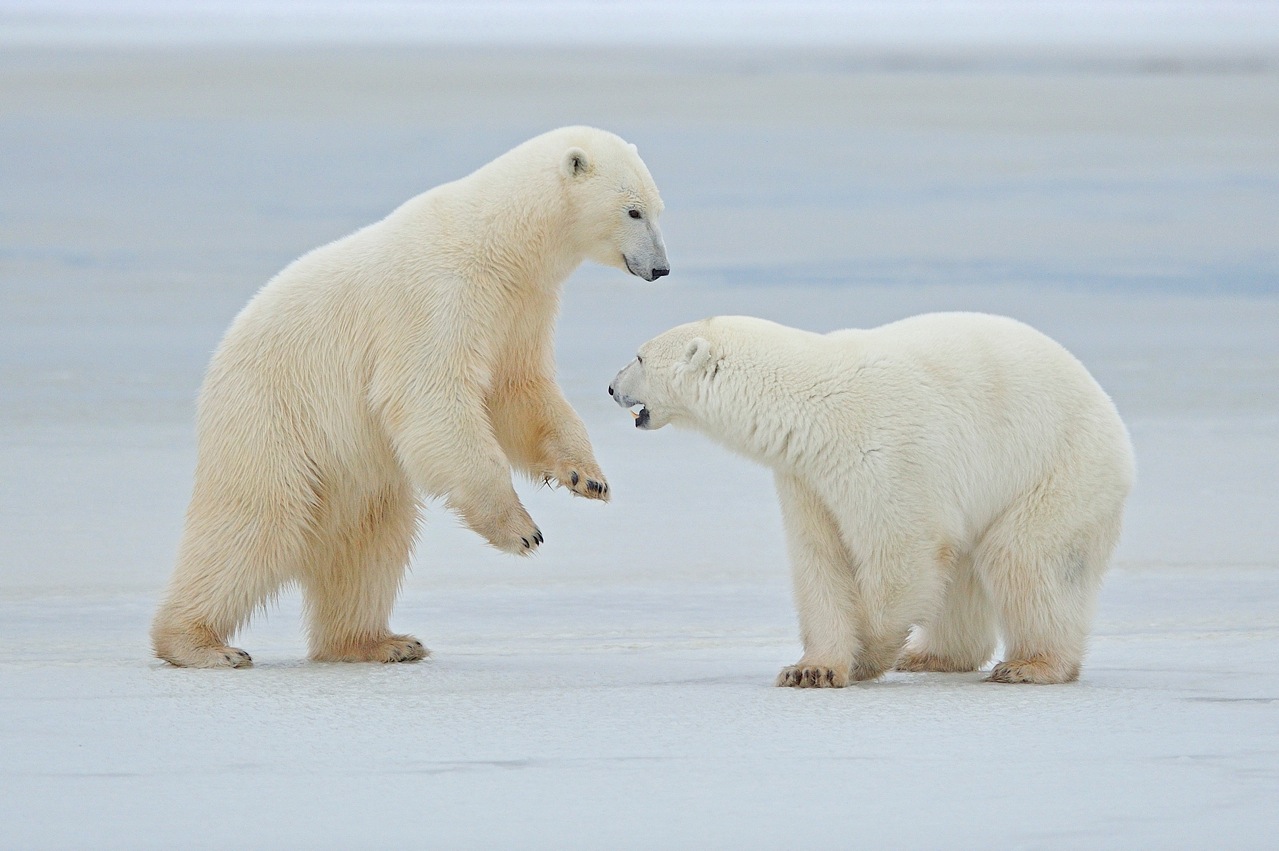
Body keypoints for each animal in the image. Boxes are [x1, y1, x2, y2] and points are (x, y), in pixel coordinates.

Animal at [152, 127, 670, 670]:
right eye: (634, 211)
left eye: (658, 208)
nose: (661, 267)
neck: (499, 242)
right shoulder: (438, 299)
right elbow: (430, 396)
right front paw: (522, 529)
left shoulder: (521, 306)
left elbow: (518, 391)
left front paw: (586, 477)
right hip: (273, 416)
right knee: (257, 522)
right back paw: (200, 643)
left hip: (350, 467)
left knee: (370, 540)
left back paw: (380, 641)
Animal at [613, 312, 1135, 685]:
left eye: (638, 357)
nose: (612, 386)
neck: (809, 404)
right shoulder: (805, 477)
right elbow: (820, 560)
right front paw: (811, 669)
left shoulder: (885, 455)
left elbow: (900, 553)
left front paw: (867, 653)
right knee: (965, 572)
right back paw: (931, 655)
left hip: (1057, 470)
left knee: (1026, 561)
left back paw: (1032, 665)